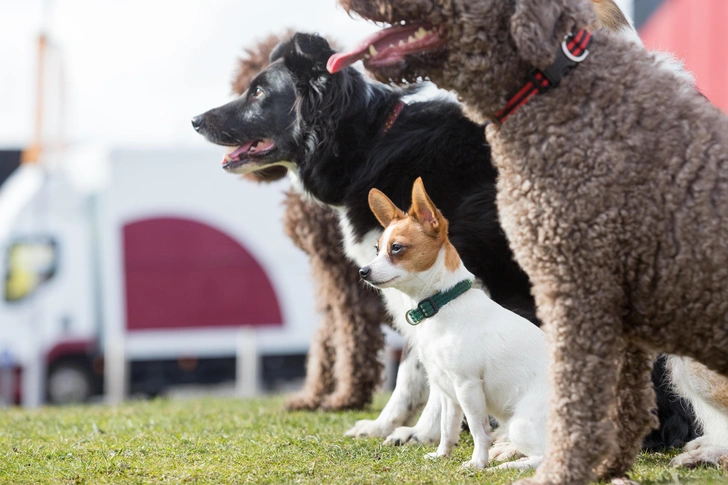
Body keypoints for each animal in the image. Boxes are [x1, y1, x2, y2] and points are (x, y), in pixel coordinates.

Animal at [236, 32, 390, 408]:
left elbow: (349, 329)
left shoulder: (340, 271)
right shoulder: (328, 270)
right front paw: (315, 393)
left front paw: (347, 394)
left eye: (255, 89)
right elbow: (327, 332)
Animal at [362, 178, 548, 468]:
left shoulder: (467, 386)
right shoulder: (447, 391)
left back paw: (507, 465)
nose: (363, 271)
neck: (442, 304)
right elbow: (447, 428)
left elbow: (478, 429)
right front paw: (441, 455)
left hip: (520, 425)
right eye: (376, 249)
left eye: (397, 248)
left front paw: (477, 463)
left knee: (547, 456)